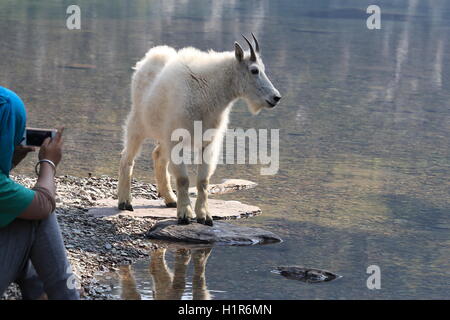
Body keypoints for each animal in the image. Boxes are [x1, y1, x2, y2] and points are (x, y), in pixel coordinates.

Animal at [119, 33, 282, 225]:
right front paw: (185, 215)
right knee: (127, 157)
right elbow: (183, 179)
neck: (210, 90)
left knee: (158, 155)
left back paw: (170, 200)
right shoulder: (177, 138)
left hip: (163, 133)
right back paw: (124, 202)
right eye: (254, 70)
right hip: (138, 123)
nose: (276, 97)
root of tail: (146, 60)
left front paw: (204, 216)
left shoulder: (208, 142)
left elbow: (203, 181)